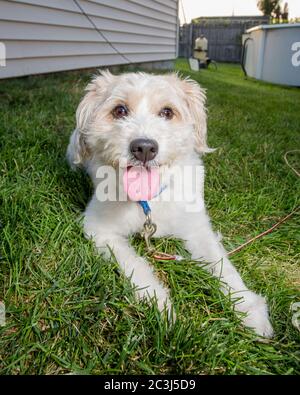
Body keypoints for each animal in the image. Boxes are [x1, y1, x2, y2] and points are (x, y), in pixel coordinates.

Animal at [67, 70, 274, 338]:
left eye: (167, 112)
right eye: (120, 110)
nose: (144, 148)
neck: (149, 201)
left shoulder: (198, 229)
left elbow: (223, 265)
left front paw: (248, 308)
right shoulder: (99, 229)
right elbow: (135, 264)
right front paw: (158, 302)